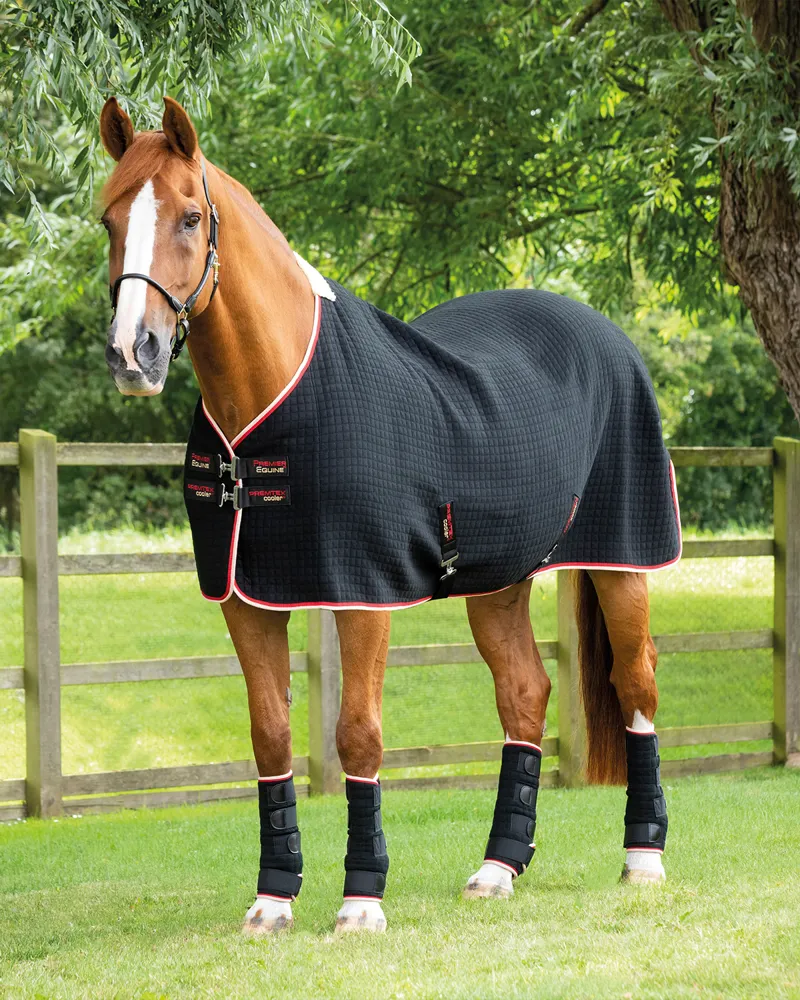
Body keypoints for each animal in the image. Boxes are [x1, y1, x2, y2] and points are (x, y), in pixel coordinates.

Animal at [98, 96, 681, 935]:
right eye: (109, 219)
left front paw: (361, 900)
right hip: (497, 582)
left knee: (636, 683)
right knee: (525, 694)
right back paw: (498, 867)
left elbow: (358, 736)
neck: (276, 397)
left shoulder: (361, 592)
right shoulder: (244, 599)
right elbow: (270, 736)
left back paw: (643, 857)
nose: (132, 353)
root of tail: (601, 331)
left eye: (188, 216)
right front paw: (272, 898)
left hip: (622, 561)